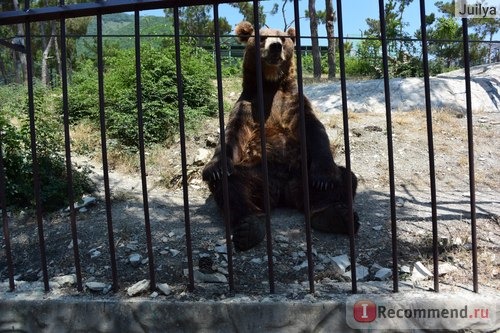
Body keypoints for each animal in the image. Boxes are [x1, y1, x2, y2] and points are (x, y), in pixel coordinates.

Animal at [201, 22, 358, 250]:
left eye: (283, 38)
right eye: (262, 37)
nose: (275, 46)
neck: (270, 84)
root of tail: (283, 194)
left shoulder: (294, 103)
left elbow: (315, 131)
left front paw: (324, 178)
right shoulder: (247, 106)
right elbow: (232, 135)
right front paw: (213, 168)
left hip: (301, 171)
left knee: (345, 178)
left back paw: (335, 215)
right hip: (257, 173)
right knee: (232, 185)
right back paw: (249, 226)